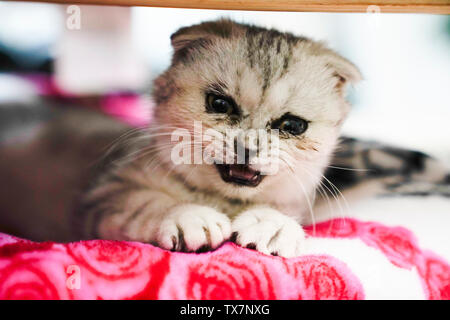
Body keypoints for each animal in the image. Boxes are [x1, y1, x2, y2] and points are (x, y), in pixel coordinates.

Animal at [76, 18, 362, 258]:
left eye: (292, 125)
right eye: (220, 104)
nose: (247, 148)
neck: (224, 201)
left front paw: (272, 224)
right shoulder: (102, 198)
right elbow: (145, 202)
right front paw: (188, 216)